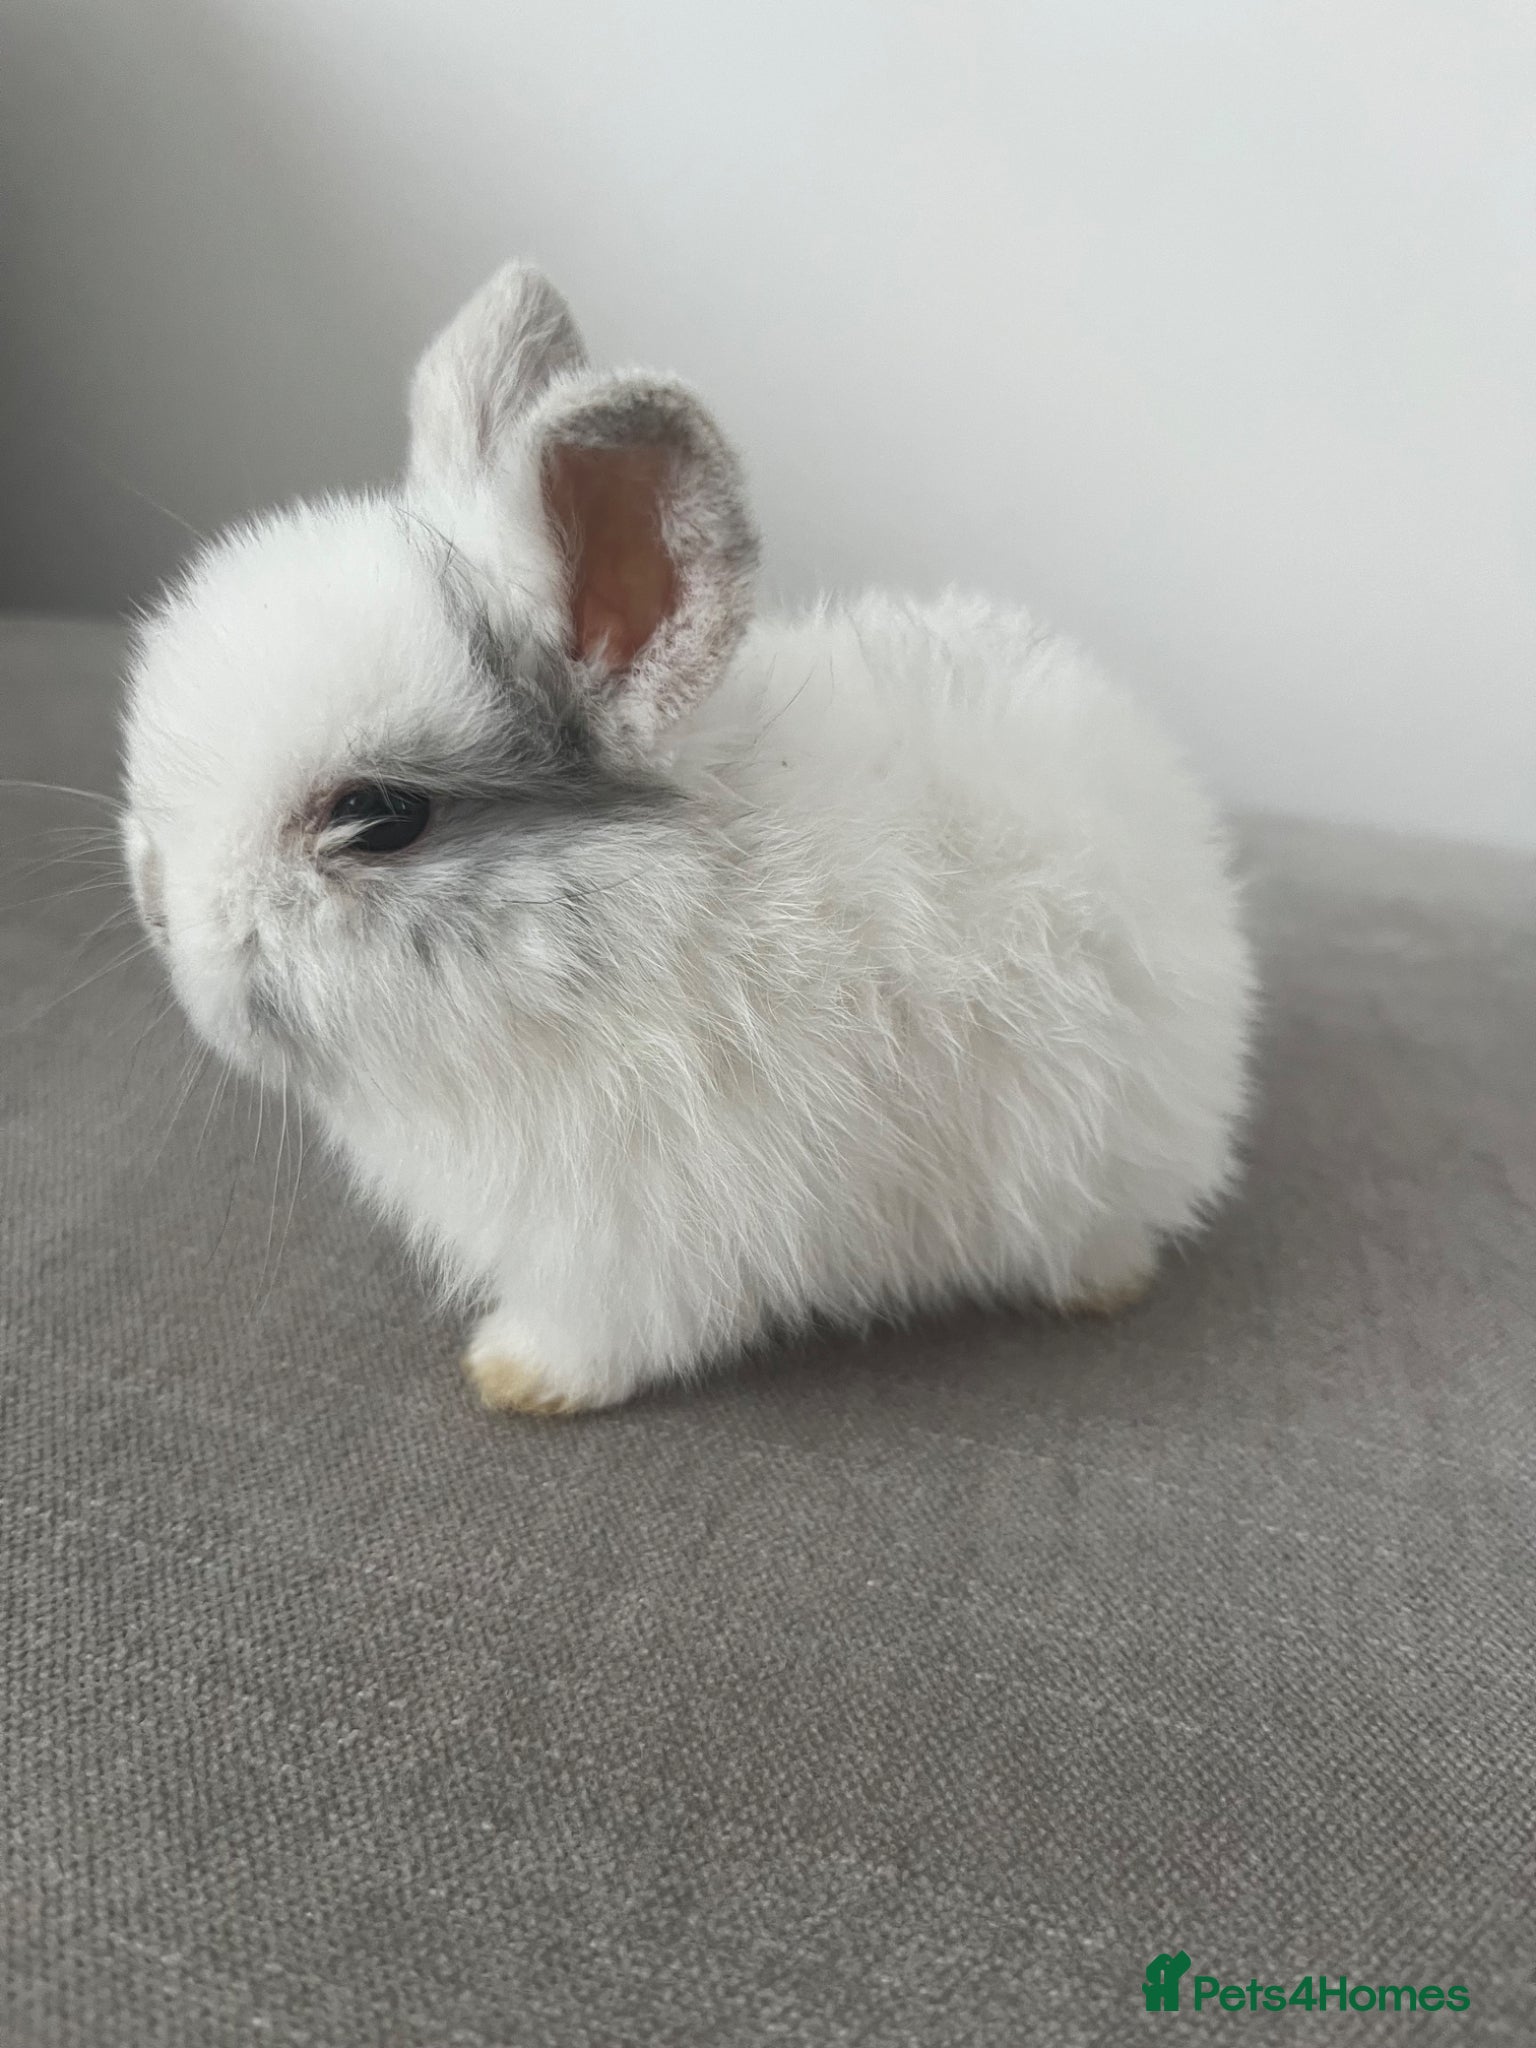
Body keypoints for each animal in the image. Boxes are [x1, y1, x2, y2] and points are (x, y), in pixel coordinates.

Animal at [122, 261, 1256, 1414]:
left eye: (380, 818)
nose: (160, 913)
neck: (623, 935)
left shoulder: (627, 1241)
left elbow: (600, 1332)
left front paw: (514, 1377)